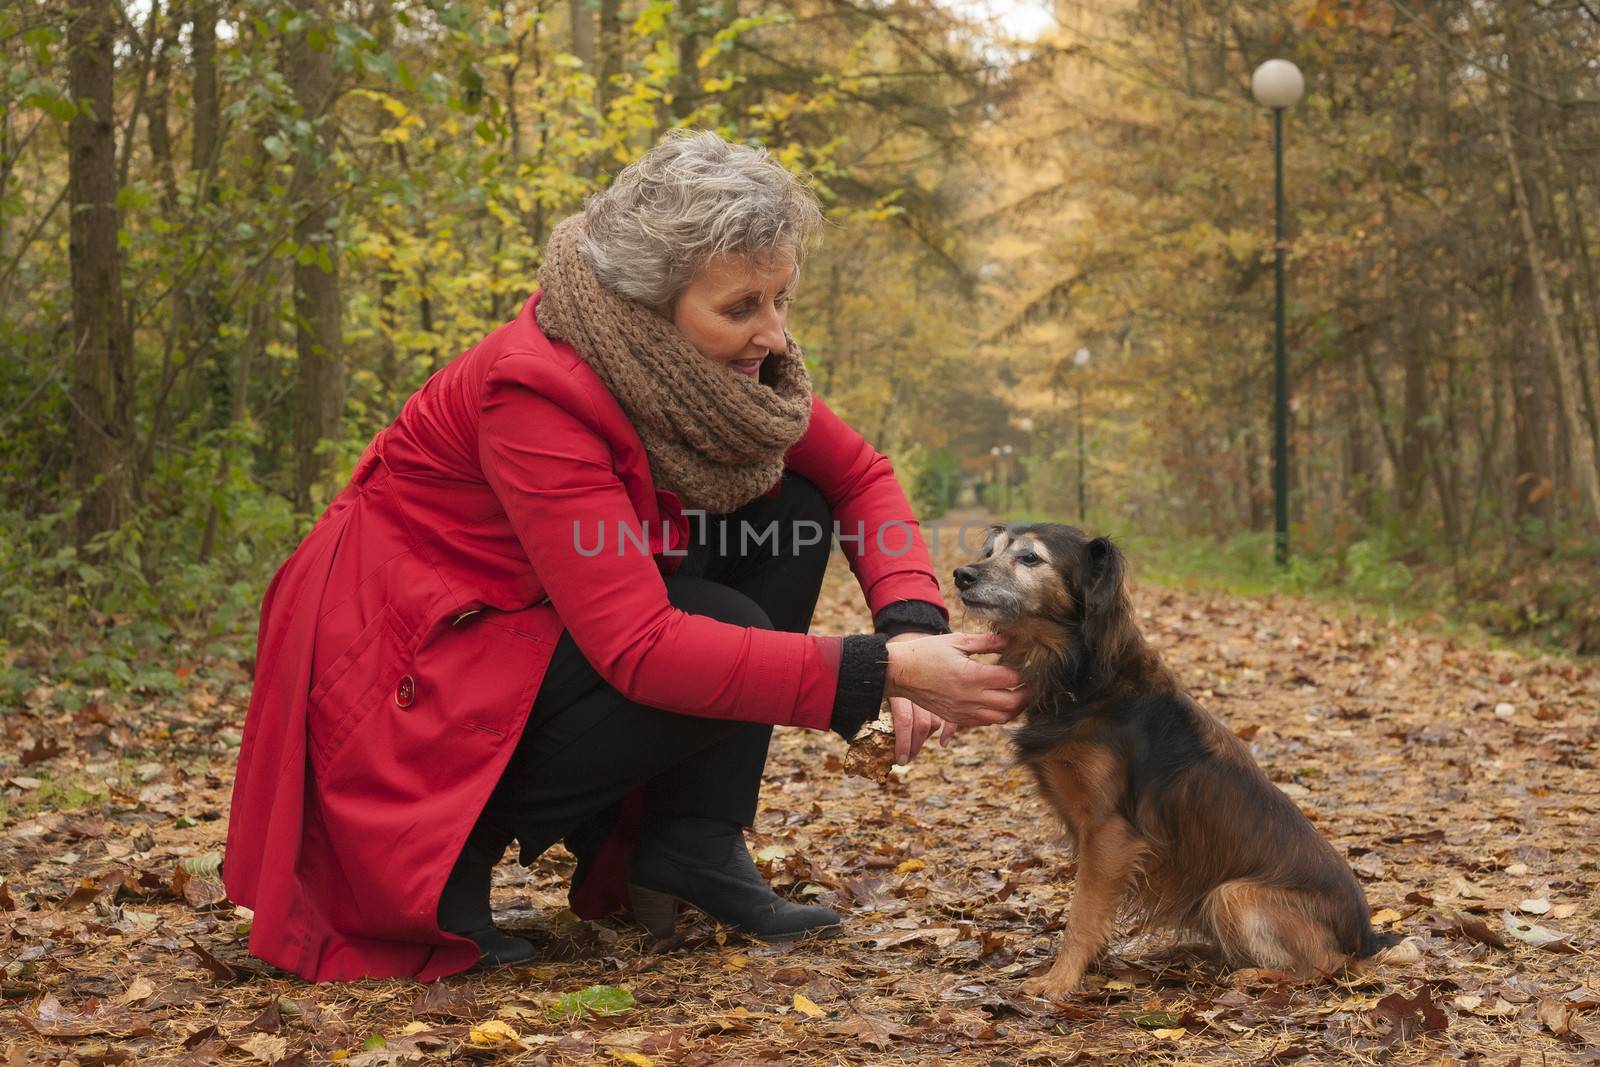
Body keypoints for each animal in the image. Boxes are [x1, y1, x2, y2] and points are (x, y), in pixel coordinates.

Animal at [947, 524, 1401, 1004]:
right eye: (989, 551)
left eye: (1030, 558)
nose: (962, 575)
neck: (1084, 679)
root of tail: (1367, 937)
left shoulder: (1110, 832)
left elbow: (1082, 915)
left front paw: (1059, 980)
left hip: (1234, 896)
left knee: (1325, 965)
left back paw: (1254, 975)